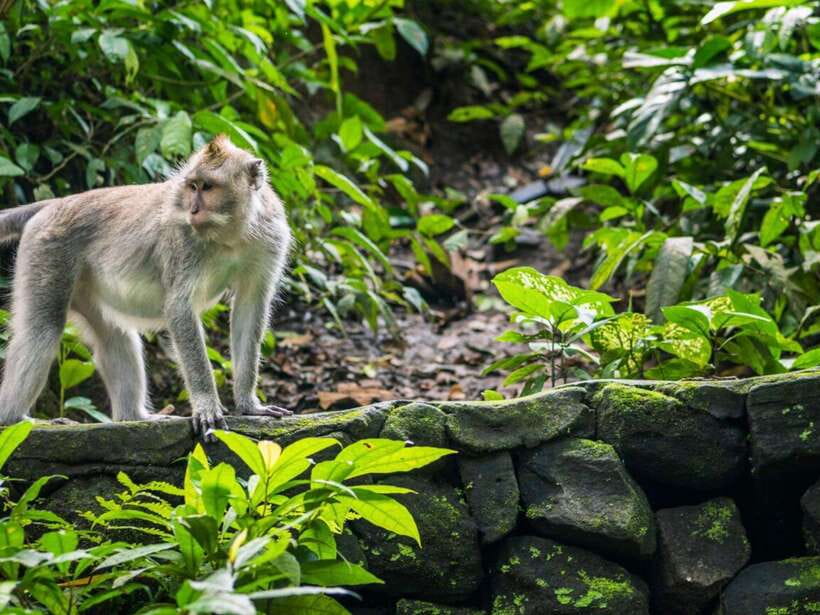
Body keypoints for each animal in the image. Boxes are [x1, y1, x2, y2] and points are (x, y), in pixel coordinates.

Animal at [0, 135, 292, 439]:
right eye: (193, 186)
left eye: (208, 187)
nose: (193, 209)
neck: (230, 235)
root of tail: (55, 204)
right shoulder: (182, 241)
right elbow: (179, 309)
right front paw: (207, 405)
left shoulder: (271, 237)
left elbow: (250, 307)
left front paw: (249, 405)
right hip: (47, 251)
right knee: (42, 331)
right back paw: (14, 418)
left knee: (115, 336)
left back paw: (134, 417)